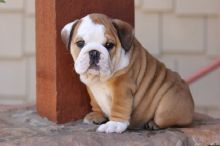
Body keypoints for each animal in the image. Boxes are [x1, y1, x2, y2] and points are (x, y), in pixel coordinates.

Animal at [60, 13, 194, 133]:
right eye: (80, 43)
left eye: (109, 45)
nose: (94, 52)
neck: (99, 79)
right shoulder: (91, 87)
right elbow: (95, 101)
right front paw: (97, 114)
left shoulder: (122, 86)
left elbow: (119, 106)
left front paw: (114, 124)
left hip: (165, 108)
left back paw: (153, 123)